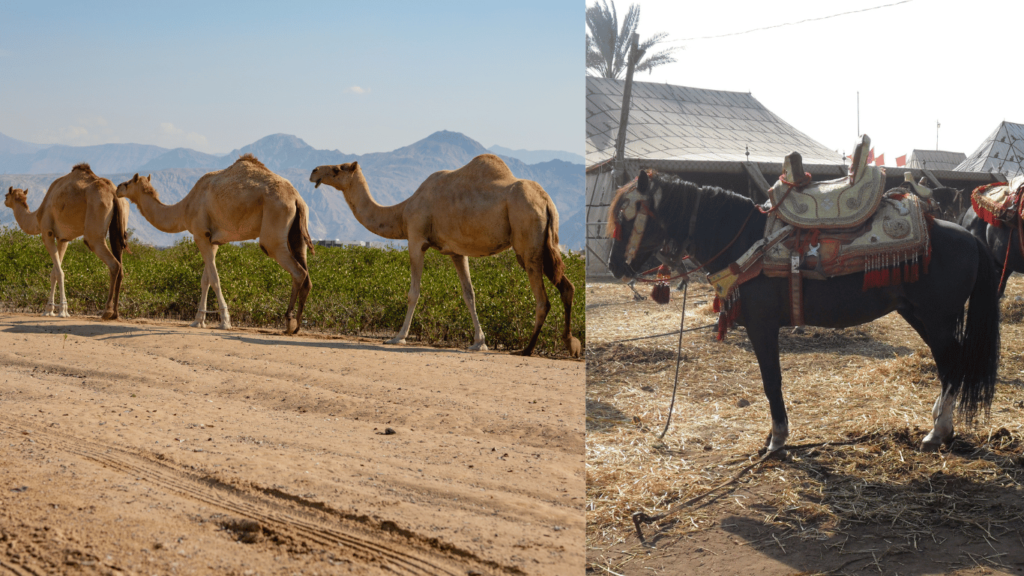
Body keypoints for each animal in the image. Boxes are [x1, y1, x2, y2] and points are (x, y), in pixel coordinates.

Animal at [2, 163, 130, 319]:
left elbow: (59, 272)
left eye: (6, 195)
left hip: (95, 226)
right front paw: (49, 309)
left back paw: (107, 311)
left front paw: (62, 310)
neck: (37, 217)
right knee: (121, 263)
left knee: (113, 263)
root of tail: (113, 192)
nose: (4, 201)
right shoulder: (63, 239)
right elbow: (54, 273)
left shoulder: (47, 233)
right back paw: (115, 314)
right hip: (118, 226)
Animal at [115, 153, 311, 332]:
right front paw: (198, 320)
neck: (185, 208)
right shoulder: (213, 240)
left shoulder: (200, 234)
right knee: (306, 274)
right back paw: (297, 325)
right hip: (296, 233)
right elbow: (206, 279)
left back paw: (289, 323)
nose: (117, 188)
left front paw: (225, 321)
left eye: (129, 182)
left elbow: (215, 279)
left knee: (297, 271)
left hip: (274, 229)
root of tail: (296, 198)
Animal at [307, 152, 581, 354]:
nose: (313, 171)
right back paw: (571, 345)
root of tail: (546, 202)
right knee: (567, 286)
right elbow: (469, 294)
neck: (402, 211)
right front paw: (479, 342)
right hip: (547, 245)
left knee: (542, 299)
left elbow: (413, 293)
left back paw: (527, 349)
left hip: (527, 241)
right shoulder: (457, 252)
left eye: (338, 169)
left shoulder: (416, 239)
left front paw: (398, 337)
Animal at [606, 170, 999, 453]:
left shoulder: (762, 326)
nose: (613, 267)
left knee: (953, 365)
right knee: (950, 365)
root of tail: (968, 236)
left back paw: (938, 432)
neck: (746, 242)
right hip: (918, 315)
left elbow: (771, 381)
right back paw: (939, 425)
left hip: (937, 319)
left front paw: (777, 439)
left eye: (626, 217)